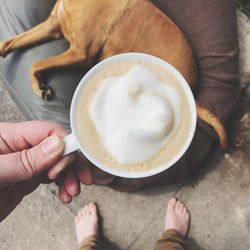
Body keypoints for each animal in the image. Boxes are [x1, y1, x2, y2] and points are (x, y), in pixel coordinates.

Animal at [0, 0, 228, 148]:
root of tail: (192, 92)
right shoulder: (51, 26)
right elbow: (10, 42)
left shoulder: (80, 53)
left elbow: (36, 63)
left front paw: (39, 87)